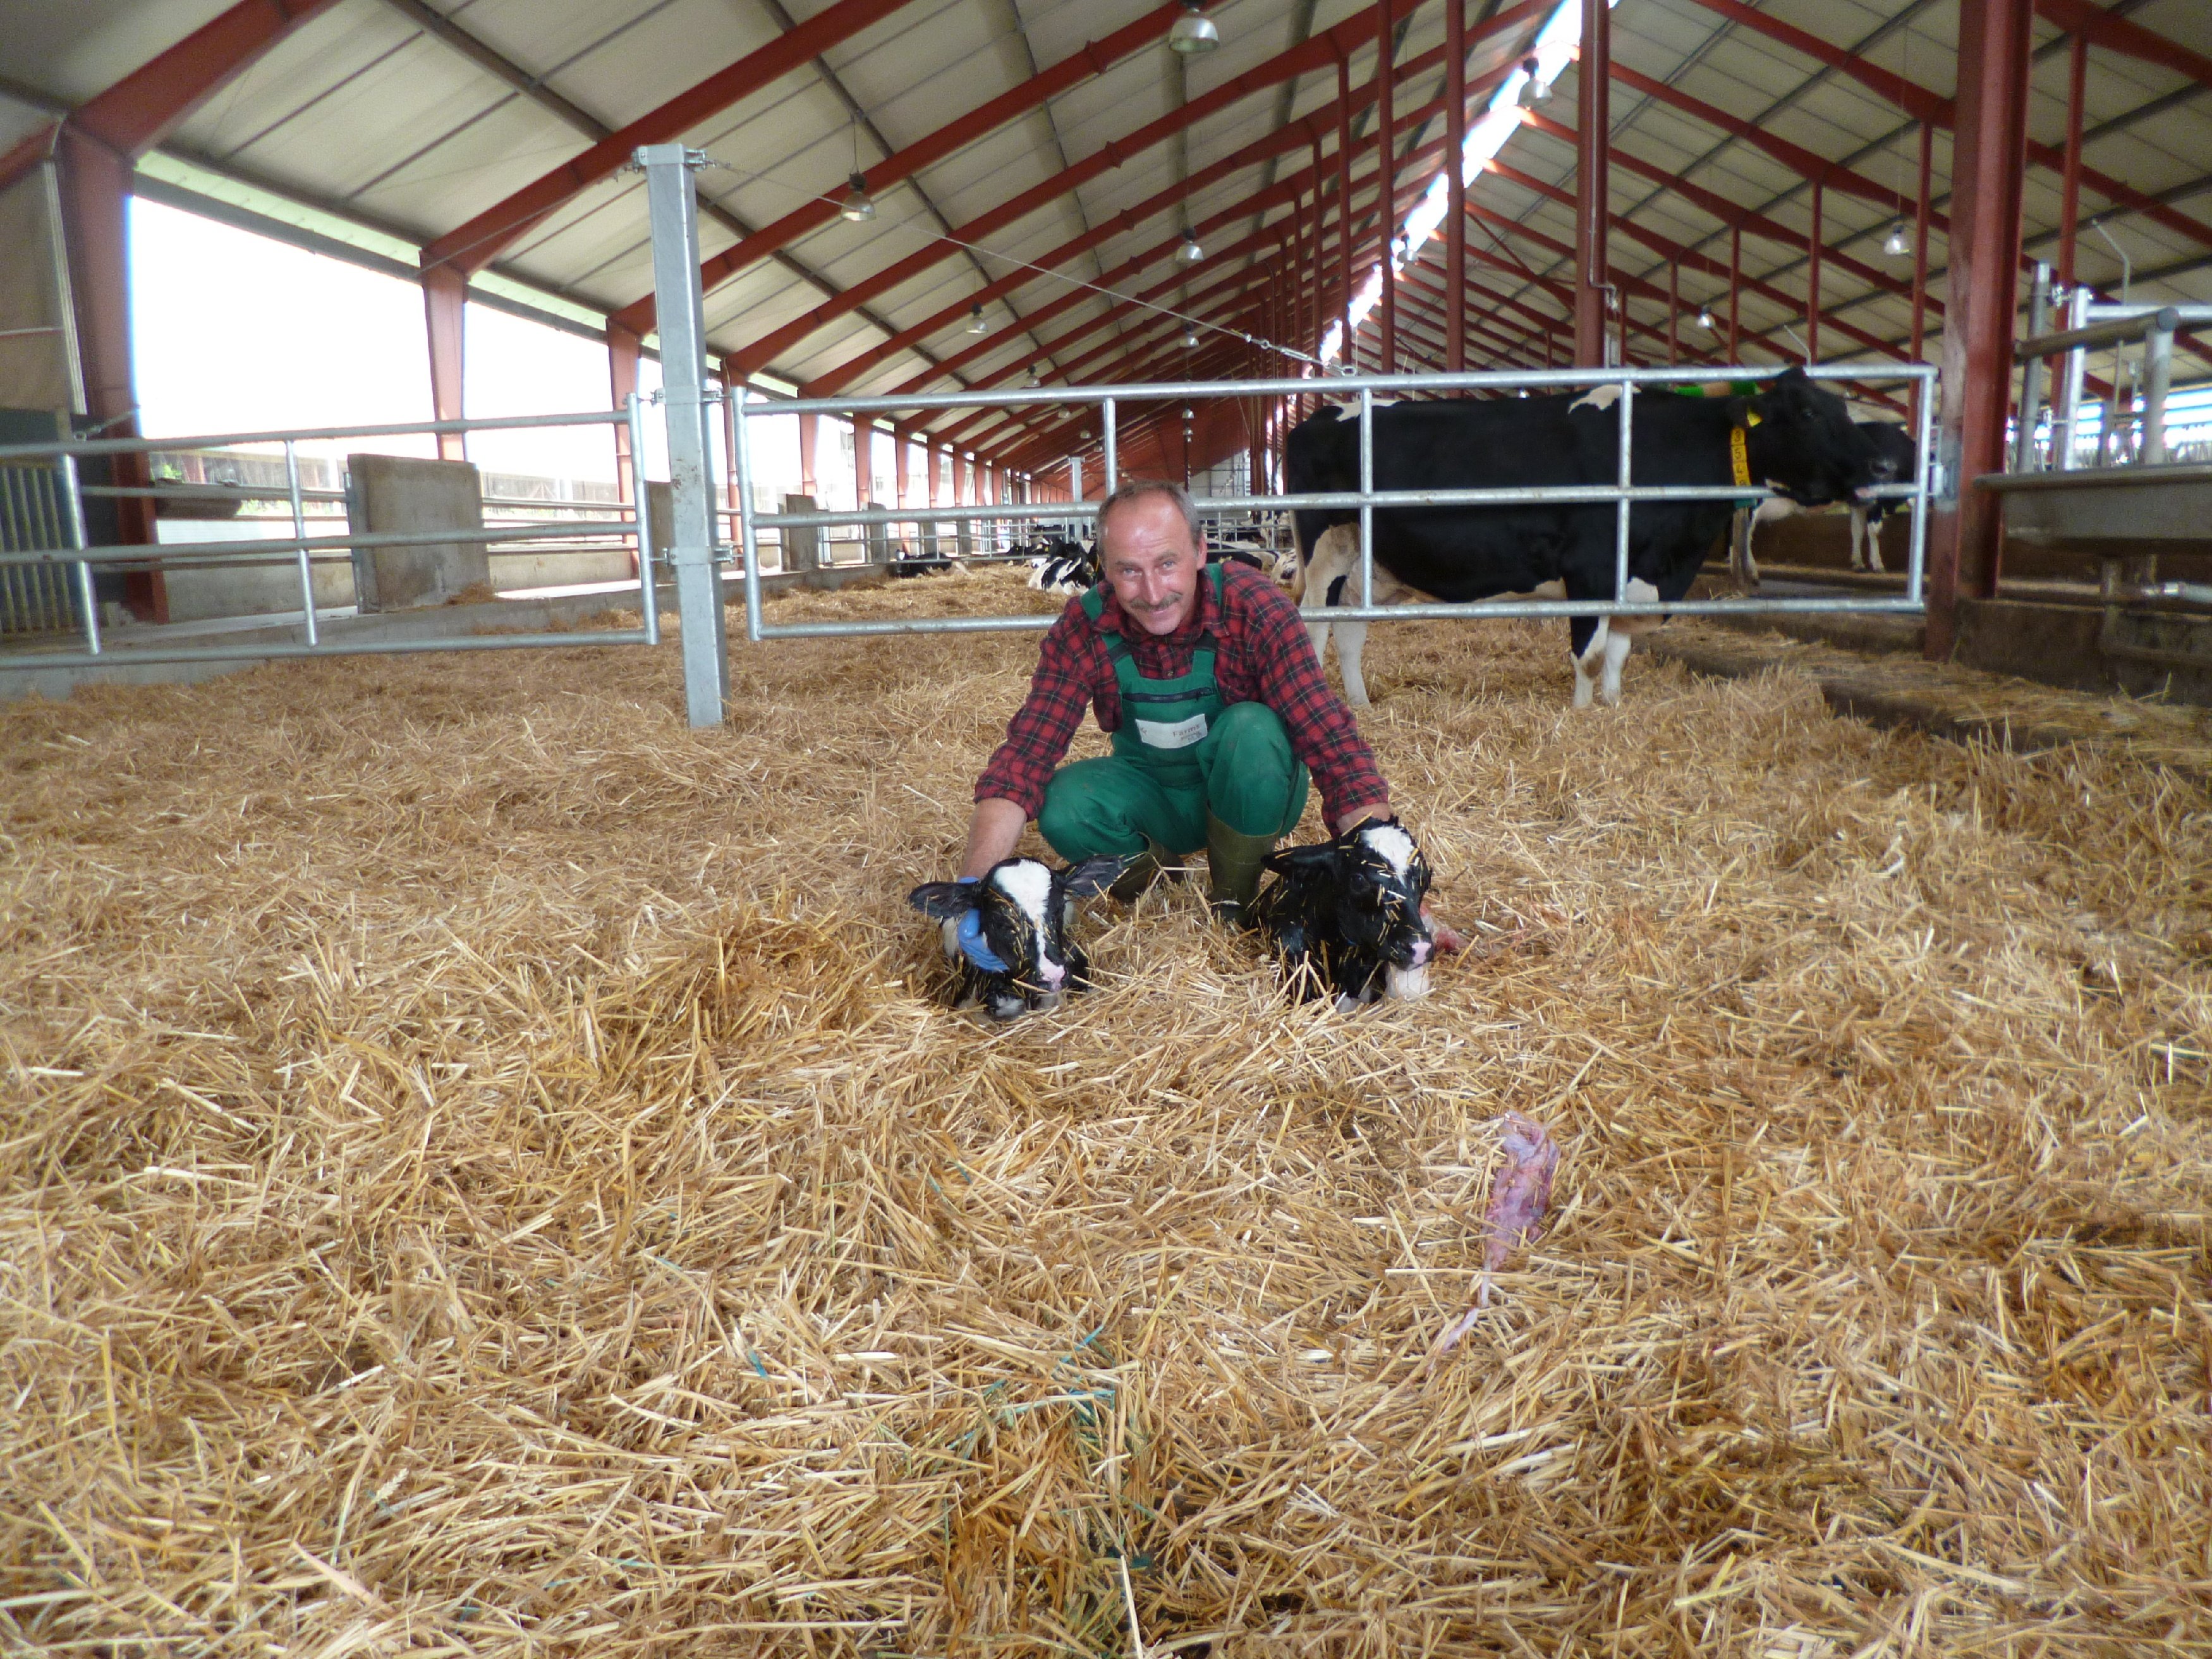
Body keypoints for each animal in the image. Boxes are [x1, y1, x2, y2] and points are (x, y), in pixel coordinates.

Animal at [1292, 369, 1893, 708]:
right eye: (1808, 412)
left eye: (1845, 410)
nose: (1883, 463)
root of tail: (1318, 417)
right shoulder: (1591, 569)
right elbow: (1589, 654)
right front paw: (1581, 718)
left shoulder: (1633, 579)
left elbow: (1619, 657)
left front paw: (1612, 709)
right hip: (1324, 551)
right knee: (1315, 626)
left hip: (1367, 564)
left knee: (1350, 632)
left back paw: (1361, 705)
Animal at [1725, 422, 1920, 593]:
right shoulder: (1875, 498)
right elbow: (1874, 531)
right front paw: (1877, 564)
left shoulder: (1857, 502)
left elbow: (1857, 530)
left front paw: (1858, 563)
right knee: (1743, 535)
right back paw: (1746, 575)